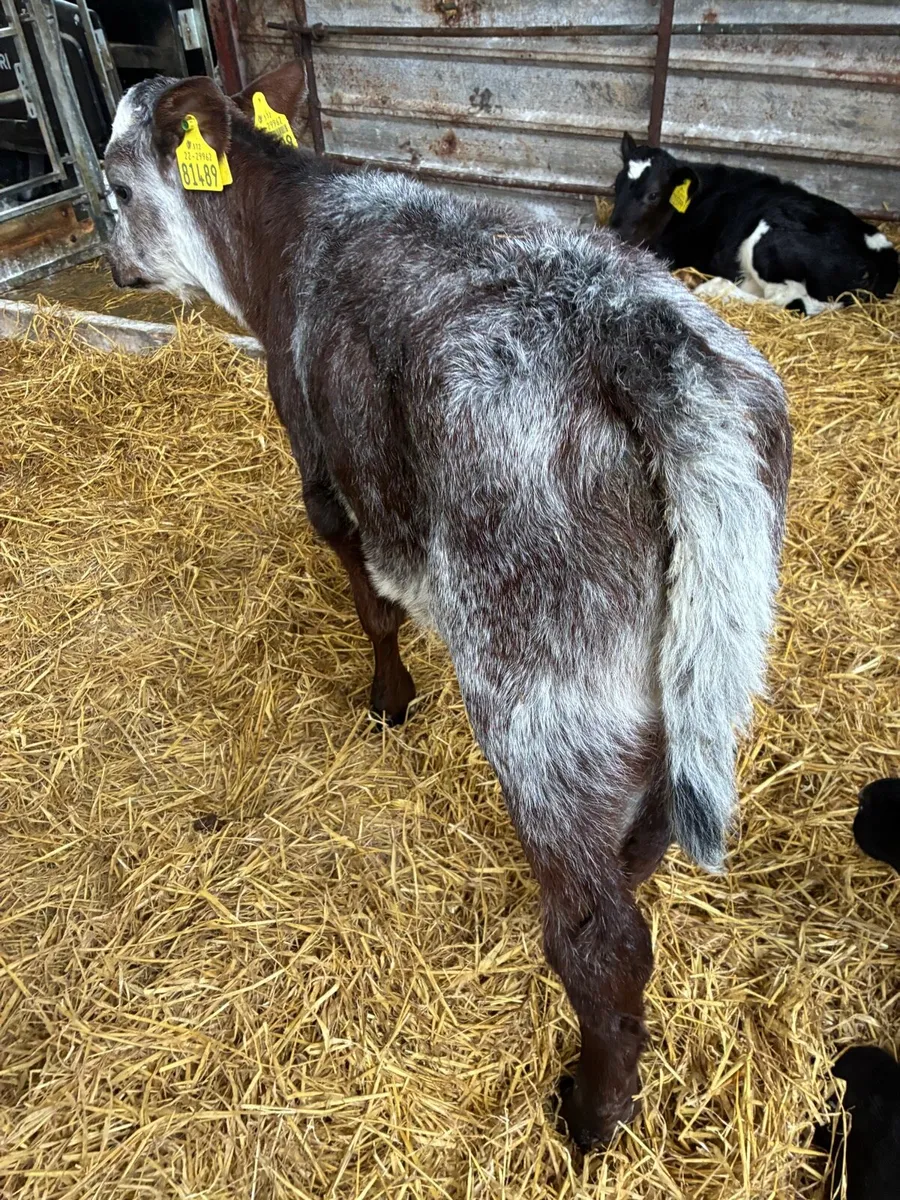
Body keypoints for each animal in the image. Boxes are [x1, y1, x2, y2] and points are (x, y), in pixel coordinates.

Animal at [103, 62, 792, 1152]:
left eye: (116, 187)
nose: (108, 258)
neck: (289, 234)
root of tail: (642, 343)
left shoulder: (318, 460)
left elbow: (371, 602)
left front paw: (388, 698)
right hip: (690, 668)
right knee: (642, 838)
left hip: (539, 688)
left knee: (601, 938)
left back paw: (592, 1114)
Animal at [610, 133, 899, 316]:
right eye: (616, 185)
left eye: (653, 195)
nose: (614, 231)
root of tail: (884, 254)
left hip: (767, 239)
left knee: (782, 300)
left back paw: (710, 287)